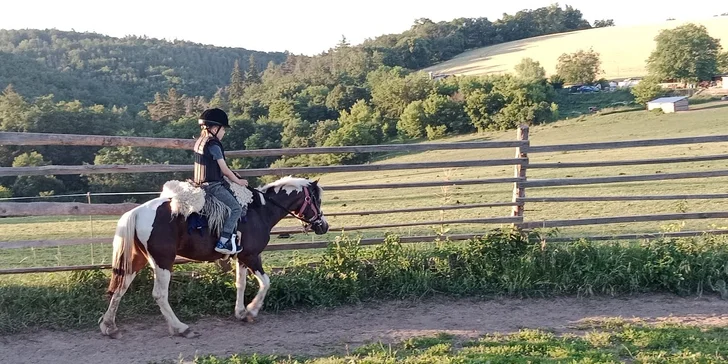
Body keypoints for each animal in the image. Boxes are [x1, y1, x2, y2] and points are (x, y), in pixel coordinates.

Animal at [97, 176, 330, 338]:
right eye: (316, 200)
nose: (323, 226)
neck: (259, 211)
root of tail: (136, 212)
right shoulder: (252, 256)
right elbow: (266, 282)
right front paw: (252, 311)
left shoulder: (241, 257)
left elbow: (240, 284)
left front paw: (240, 312)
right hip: (163, 262)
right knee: (159, 295)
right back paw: (181, 328)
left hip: (136, 260)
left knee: (119, 288)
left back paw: (109, 326)